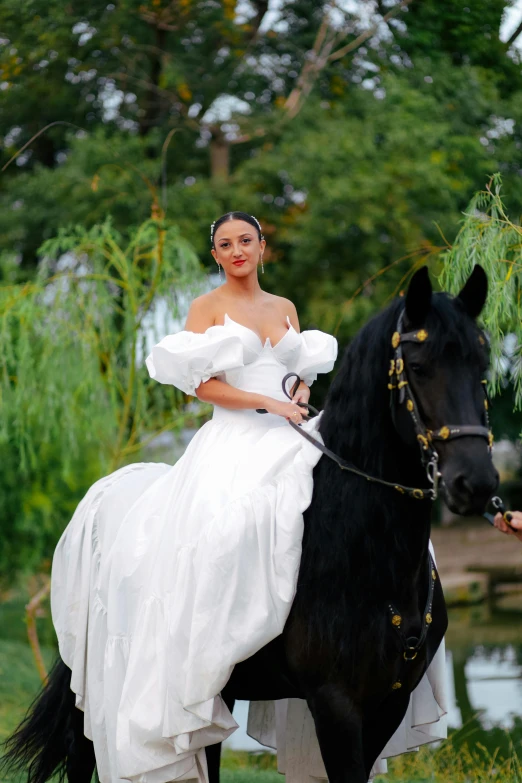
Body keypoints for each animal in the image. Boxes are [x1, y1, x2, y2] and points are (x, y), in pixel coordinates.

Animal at [1, 264, 496, 783]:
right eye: (418, 367)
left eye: (483, 365)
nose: (475, 482)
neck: (357, 551)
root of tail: (105, 488)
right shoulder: (335, 704)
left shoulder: (388, 702)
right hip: (95, 683)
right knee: (82, 752)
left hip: (214, 692)